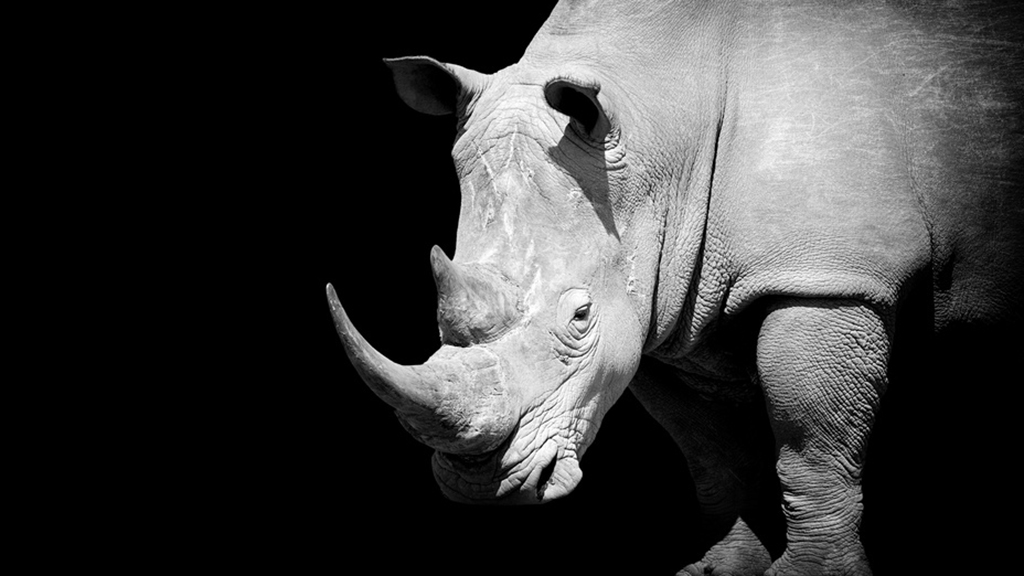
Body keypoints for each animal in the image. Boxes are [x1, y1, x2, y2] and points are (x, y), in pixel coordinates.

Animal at [327, 1, 1023, 574]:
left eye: (580, 318)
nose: (480, 487)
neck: (656, 121)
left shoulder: (828, 277)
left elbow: (813, 444)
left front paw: (813, 574)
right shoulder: (660, 306)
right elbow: (708, 449)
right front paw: (717, 569)